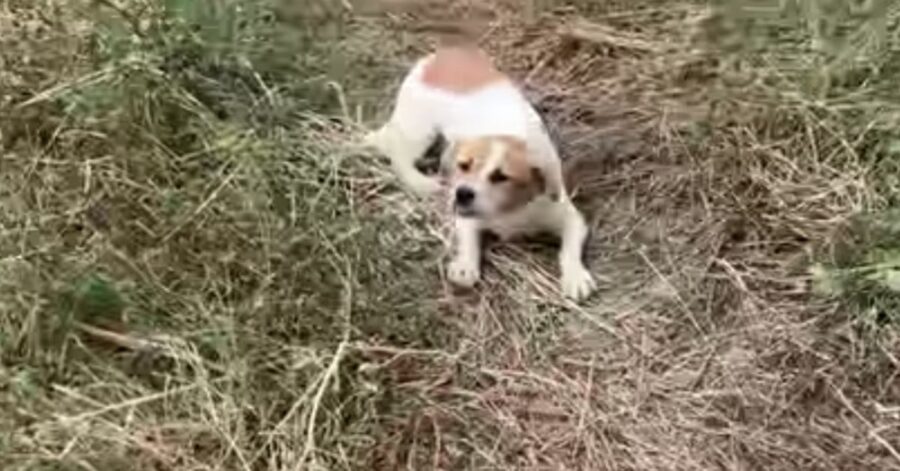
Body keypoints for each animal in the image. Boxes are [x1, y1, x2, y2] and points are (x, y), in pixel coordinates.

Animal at [366, 47, 596, 302]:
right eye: (464, 166)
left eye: (501, 176)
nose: (462, 193)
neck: (510, 209)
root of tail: (438, 56)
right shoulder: (464, 214)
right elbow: (469, 241)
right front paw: (465, 266)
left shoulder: (570, 218)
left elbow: (569, 250)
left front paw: (575, 276)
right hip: (420, 131)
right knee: (399, 158)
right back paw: (424, 183)